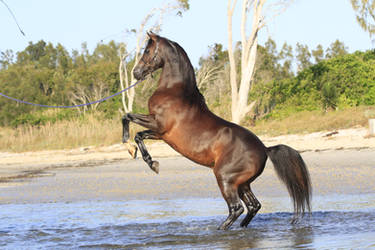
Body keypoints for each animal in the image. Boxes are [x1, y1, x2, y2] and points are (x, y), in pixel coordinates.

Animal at [122, 31, 312, 230]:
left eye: (147, 50)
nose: (136, 73)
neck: (174, 92)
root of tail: (265, 149)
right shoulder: (161, 135)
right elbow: (134, 127)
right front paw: (139, 154)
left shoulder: (158, 125)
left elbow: (130, 123)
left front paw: (148, 161)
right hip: (243, 184)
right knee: (253, 206)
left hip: (225, 178)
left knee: (236, 208)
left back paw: (221, 229)